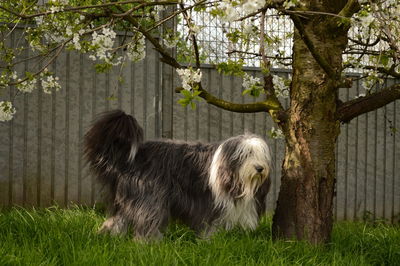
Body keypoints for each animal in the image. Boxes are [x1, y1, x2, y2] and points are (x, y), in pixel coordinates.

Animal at [84, 109, 272, 240]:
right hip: (150, 197)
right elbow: (209, 225)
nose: (260, 168)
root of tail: (134, 157)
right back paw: (149, 243)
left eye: (261, 155)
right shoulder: (207, 202)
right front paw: (211, 242)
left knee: (116, 219)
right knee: (147, 220)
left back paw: (110, 237)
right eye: (245, 154)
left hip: (129, 198)